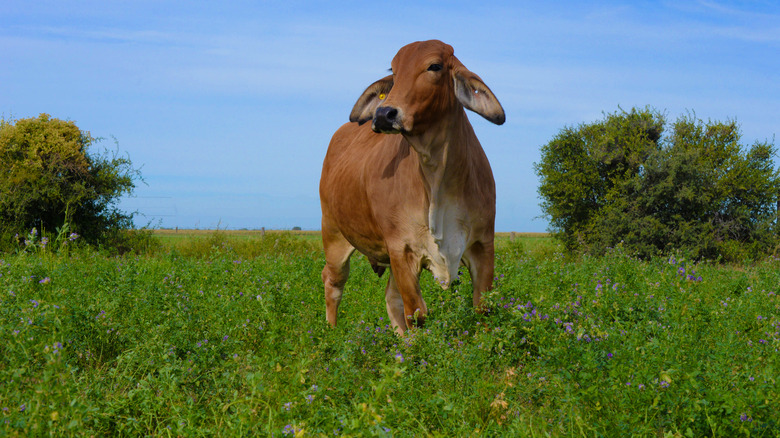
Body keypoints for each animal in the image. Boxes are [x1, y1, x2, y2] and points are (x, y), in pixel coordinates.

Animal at [319, 40, 505, 334]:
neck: (437, 177)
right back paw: (332, 333)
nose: (384, 114)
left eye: (435, 66)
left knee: (390, 297)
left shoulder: (483, 243)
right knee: (333, 282)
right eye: (394, 72)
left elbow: (483, 310)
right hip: (334, 234)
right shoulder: (401, 248)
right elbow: (417, 314)